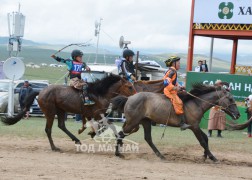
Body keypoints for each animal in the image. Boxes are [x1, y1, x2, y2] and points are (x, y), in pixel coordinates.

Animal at [1, 74, 136, 151]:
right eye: (129, 87)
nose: (136, 96)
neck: (99, 93)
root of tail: (41, 91)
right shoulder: (97, 114)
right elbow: (109, 125)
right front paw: (116, 139)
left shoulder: (95, 115)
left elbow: (104, 125)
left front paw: (92, 132)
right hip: (50, 113)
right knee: (48, 129)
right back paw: (54, 147)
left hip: (61, 111)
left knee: (61, 125)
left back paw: (76, 139)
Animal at [111, 84, 240, 162]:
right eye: (230, 99)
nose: (238, 114)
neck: (196, 103)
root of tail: (129, 98)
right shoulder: (194, 127)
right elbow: (202, 141)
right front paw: (213, 157)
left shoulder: (195, 126)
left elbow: (206, 139)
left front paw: (205, 156)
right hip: (133, 123)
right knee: (121, 134)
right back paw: (118, 153)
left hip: (143, 122)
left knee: (147, 138)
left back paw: (160, 155)